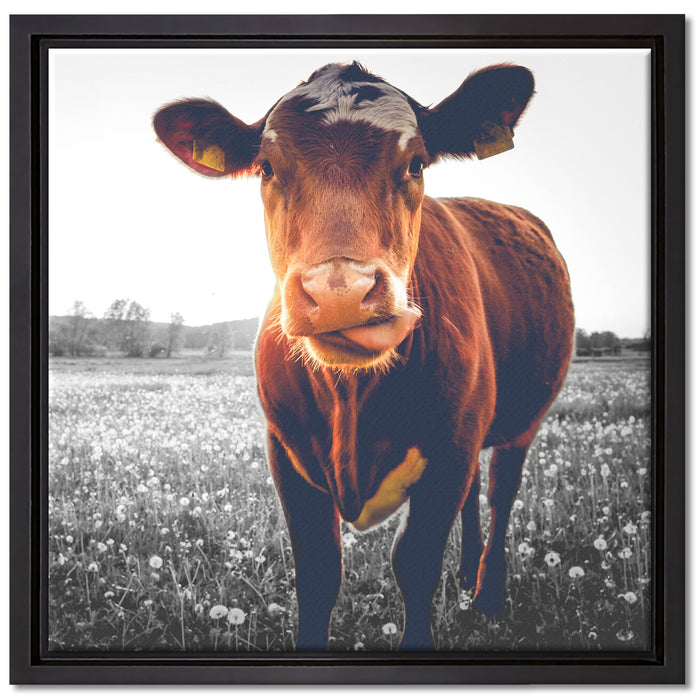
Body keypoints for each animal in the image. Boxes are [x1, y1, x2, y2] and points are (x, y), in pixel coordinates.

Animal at [153, 61, 574, 651]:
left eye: (416, 162)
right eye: (266, 168)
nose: (340, 292)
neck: (351, 399)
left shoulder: (450, 450)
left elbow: (415, 563)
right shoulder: (286, 451)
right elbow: (318, 571)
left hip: (521, 421)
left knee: (500, 492)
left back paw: (487, 594)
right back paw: (466, 574)